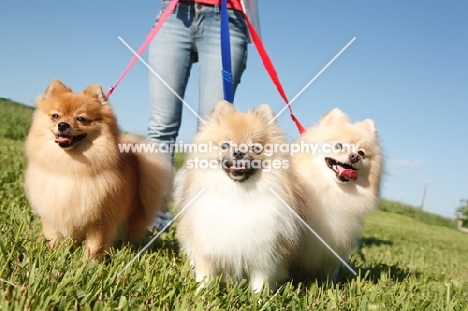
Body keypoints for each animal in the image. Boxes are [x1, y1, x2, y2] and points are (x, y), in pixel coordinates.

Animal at [23, 80, 174, 258]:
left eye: (81, 119)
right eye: (55, 116)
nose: (62, 125)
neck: (70, 166)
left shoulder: (101, 219)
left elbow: (95, 245)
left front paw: (90, 262)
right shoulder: (53, 209)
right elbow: (53, 236)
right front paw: (54, 254)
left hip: (134, 216)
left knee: (131, 235)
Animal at [174, 100, 308, 292]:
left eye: (255, 148)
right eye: (225, 146)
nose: (238, 152)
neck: (238, 193)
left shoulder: (265, 254)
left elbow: (260, 282)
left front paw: (259, 297)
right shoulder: (206, 245)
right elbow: (205, 276)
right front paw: (202, 293)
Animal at [294, 108, 382, 280]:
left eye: (362, 152)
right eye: (338, 145)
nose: (355, 156)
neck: (332, 191)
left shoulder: (337, 245)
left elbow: (331, 271)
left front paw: (330, 283)